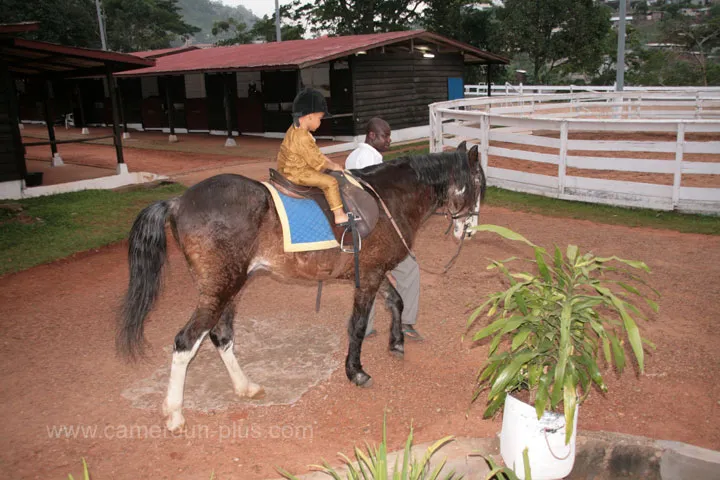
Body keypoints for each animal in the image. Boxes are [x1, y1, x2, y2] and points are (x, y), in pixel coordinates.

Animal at [118, 142, 486, 432]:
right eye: (478, 184)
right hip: (221, 288)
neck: (388, 199)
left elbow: (395, 302)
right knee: (185, 342)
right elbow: (358, 325)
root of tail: (178, 201)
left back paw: (245, 387)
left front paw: (396, 342)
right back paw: (175, 413)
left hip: (229, 288)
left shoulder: (373, 271)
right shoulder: (368, 275)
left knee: (221, 336)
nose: (469, 230)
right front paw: (355, 371)